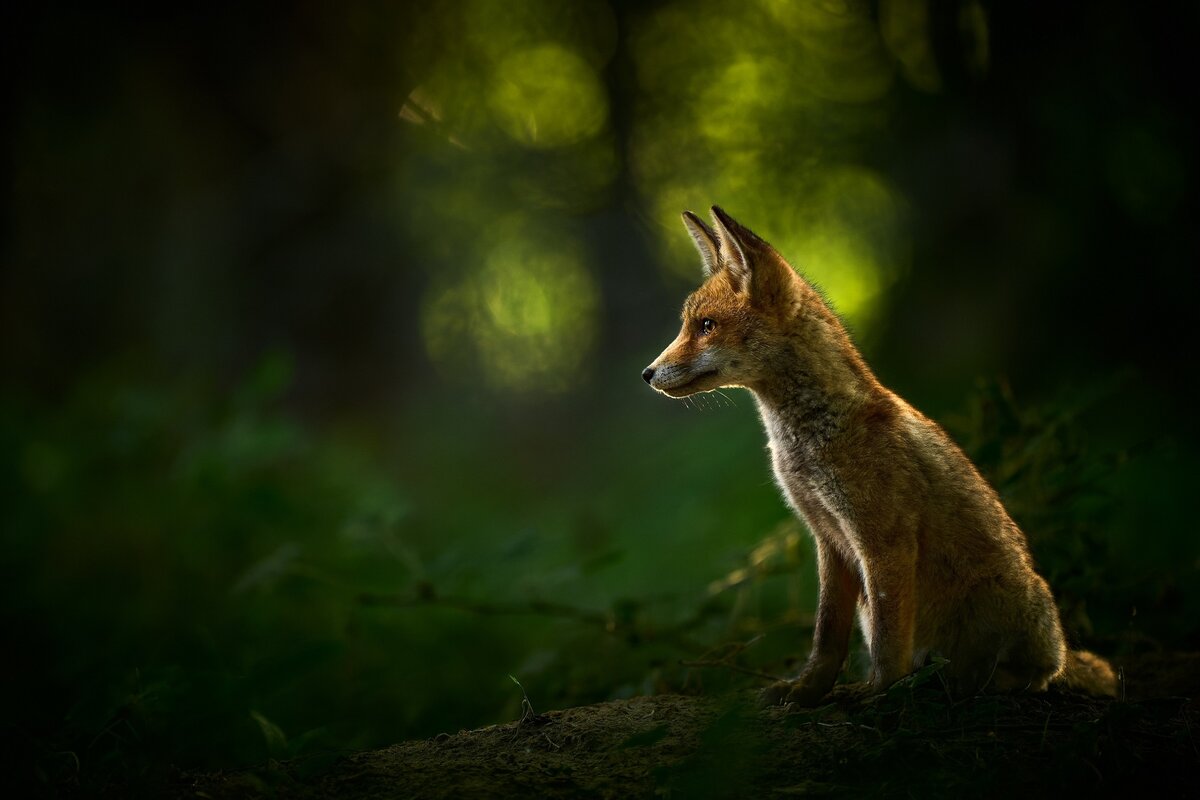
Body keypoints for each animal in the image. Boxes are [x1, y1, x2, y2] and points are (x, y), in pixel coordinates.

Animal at [642, 206, 1117, 706]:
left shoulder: (883, 539)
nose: (647, 373)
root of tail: (1058, 646)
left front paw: (880, 691)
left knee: (1026, 675)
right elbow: (826, 635)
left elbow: (889, 640)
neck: (806, 442)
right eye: (688, 325)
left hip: (1009, 616)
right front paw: (807, 690)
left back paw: (971, 680)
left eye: (706, 326)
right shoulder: (828, 539)